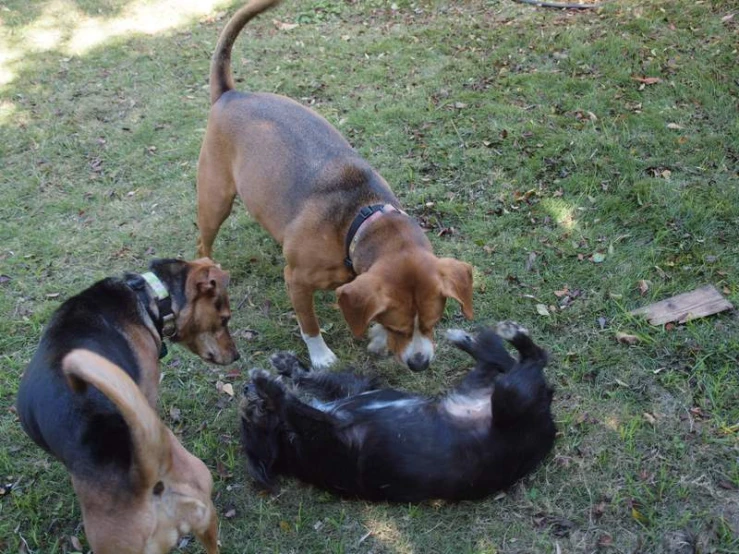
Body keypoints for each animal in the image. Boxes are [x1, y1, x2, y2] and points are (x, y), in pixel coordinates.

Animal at [197, 1, 474, 370]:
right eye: (399, 328)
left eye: (433, 323)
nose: (419, 362)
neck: (359, 218)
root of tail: (230, 94)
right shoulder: (297, 280)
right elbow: (309, 324)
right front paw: (321, 357)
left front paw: (375, 338)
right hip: (215, 202)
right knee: (203, 243)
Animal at [240, 320, 556, 500]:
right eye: (252, 415)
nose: (244, 390)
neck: (290, 450)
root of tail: (551, 423)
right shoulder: (330, 433)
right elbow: (293, 407)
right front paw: (270, 386)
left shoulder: (354, 389)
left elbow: (313, 382)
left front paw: (285, 366)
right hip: (508, 399)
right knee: (532, 359)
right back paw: (504, 335)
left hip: (486, 383)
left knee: (504, 359)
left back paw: (469, 338)